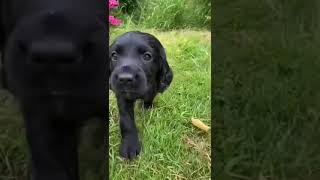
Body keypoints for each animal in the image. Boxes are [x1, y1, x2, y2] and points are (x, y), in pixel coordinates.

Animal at [109, 31, 172, 160]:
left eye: (147, 56)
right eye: (114, 56)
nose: (124, 79)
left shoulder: (154, 88)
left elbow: (149, 98)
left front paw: (146, 108)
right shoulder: (122, 96)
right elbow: (126, 120)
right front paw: (130, 145)